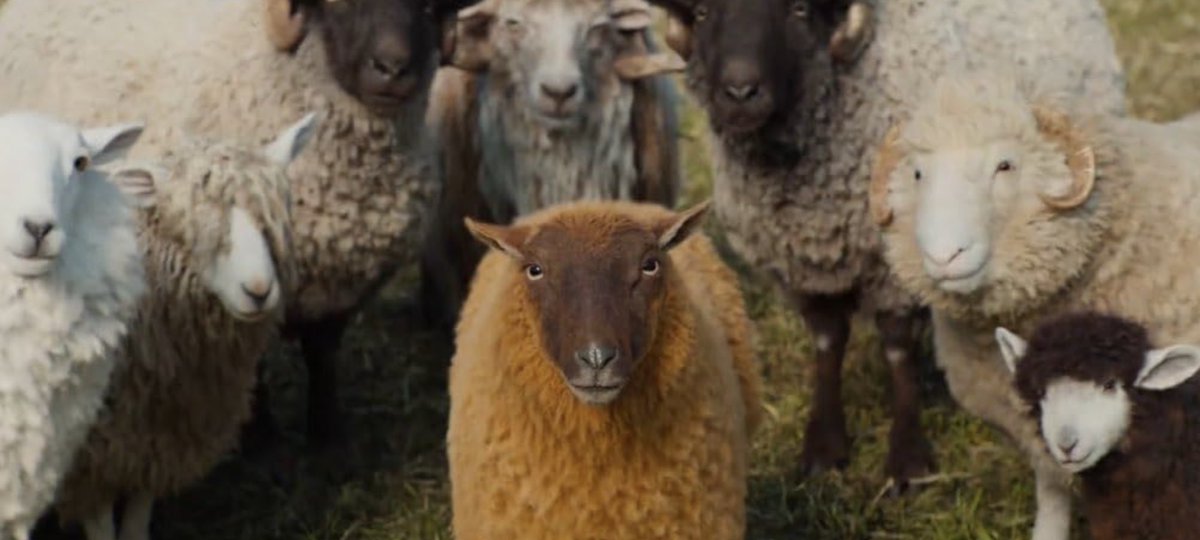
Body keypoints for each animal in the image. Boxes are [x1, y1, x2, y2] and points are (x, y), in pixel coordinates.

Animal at [0, 0, 477, 449]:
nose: (393, 69)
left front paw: (328, 435)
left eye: (429, 8)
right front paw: (258, 436)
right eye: (339, 3)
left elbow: (323, 354)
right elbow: (255, 363)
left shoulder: (343, 285)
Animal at [51, 114, 316, 540]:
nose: (258, 290)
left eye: (275, 215)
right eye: (187, 221)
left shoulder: (162, 440)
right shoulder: (89, 454)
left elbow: (138, 518)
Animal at [643, 0, 1128, 491]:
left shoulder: (894, 264)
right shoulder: (801, 268)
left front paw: (908, 459)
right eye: (702, 13)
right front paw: (824, 447)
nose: (741, 92)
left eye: (798, 11)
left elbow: (897, 349)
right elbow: (826, 341)